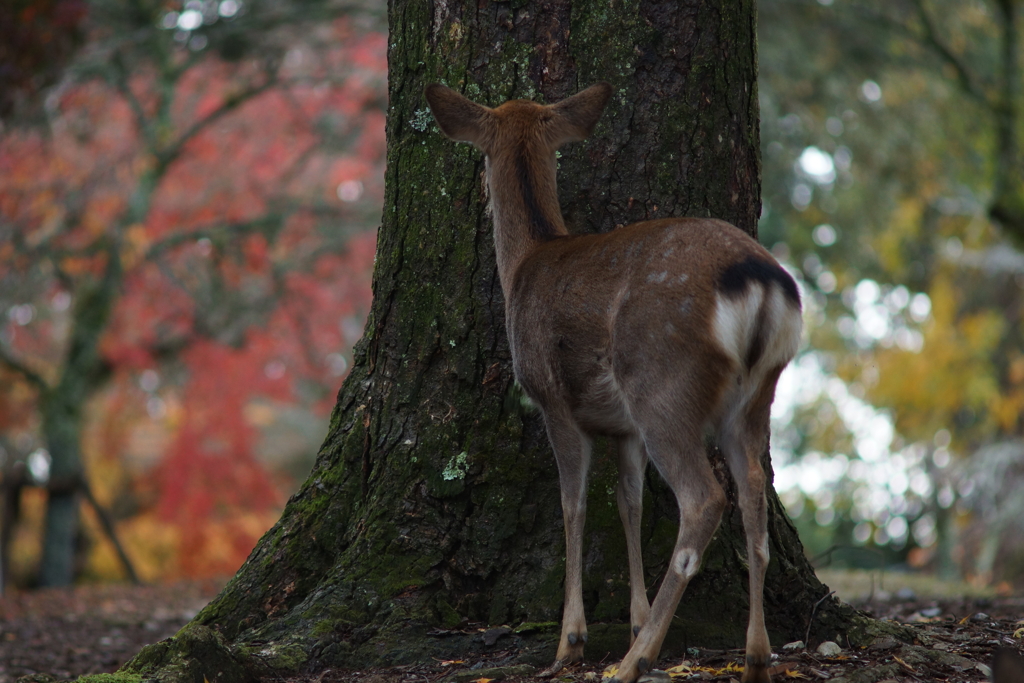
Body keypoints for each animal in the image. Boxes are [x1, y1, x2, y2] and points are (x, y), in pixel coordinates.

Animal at [428, 81, 802, 683]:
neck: (526, 263)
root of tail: (761, 283)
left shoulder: (553, 400)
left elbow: (573, 504)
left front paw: (571, 640)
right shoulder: (623, 429)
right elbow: (629, 502)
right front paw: (634, 617)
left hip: (661, 382)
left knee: (704, 499)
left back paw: (634, 661)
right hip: (755, 394)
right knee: (753, 497)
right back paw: (754, 657)